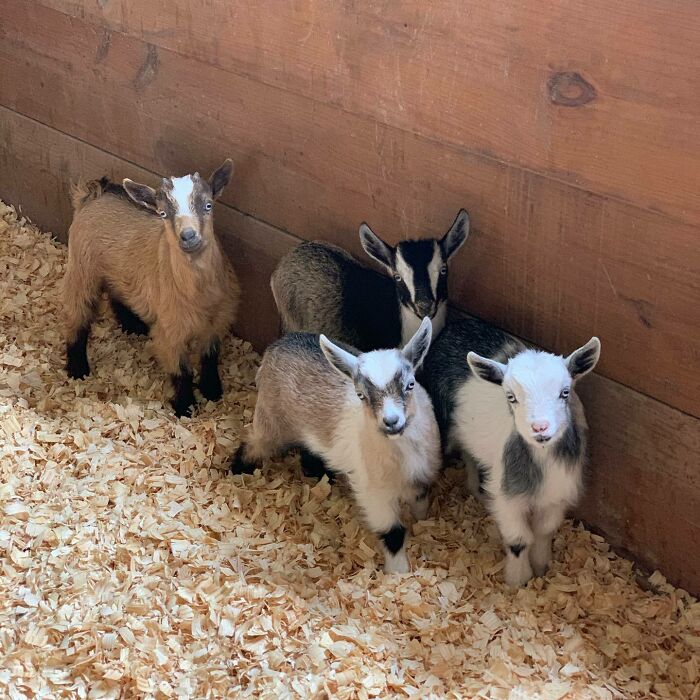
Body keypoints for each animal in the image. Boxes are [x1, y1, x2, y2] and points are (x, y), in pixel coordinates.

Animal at [63, 160, 240, 417]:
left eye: (208, 205)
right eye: (163, 213)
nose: (188, 236)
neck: (198, 294)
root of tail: (92, 193)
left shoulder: (218, 319)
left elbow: (210, 356)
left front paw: (212, 390)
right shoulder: (169, 330)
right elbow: (181, 371)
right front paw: (185, 407)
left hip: (117, 271)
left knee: (117, 291)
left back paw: (132, 324)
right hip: (82, 266)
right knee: (76, 310)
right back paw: (77, 367)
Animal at [231, 318, 441, 574]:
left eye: (410, 384)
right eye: (361, 395)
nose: (391, 421)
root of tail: (277, 345)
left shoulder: (421, 475)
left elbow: (421, 504)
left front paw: (423, 522)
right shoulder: (374, 493)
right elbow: (393, 532)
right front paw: (397, 571)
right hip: (271, 420)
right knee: (253, 443)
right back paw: (237, 470)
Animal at [421, 317, 601, 587]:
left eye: (565, 392)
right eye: (511, 397)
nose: (540, 427)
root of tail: (456, 324)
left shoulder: (557, 493)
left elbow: (544, 531)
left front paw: (541, 566)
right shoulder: (508, 499)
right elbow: (519, 539)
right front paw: (518, 580)